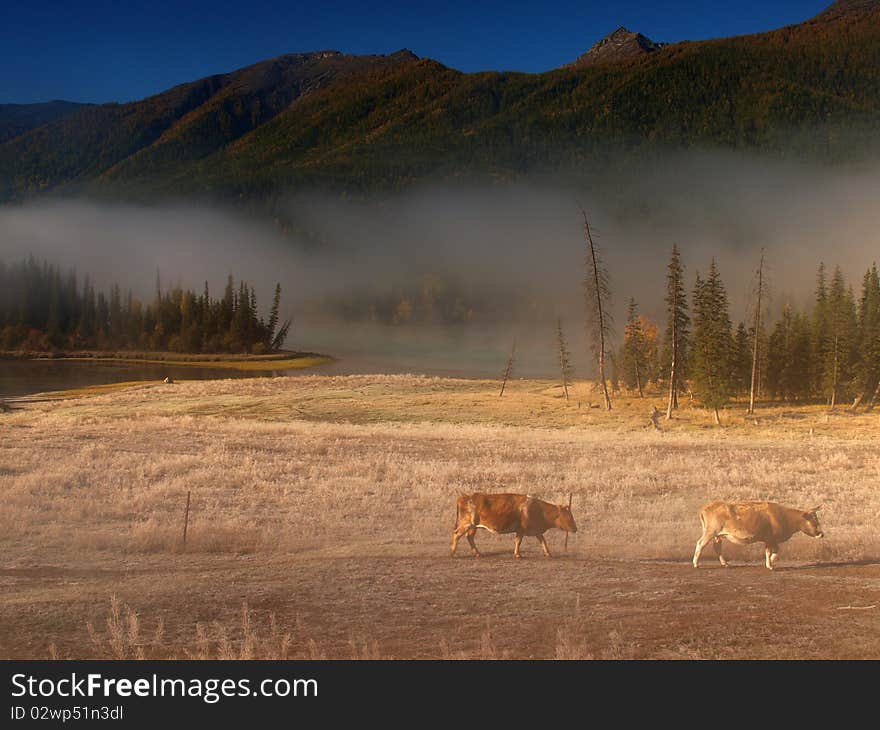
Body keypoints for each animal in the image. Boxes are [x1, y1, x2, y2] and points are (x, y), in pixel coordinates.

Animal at [446, 492, 576, 560]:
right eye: (569, 516)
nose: (575, 528)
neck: (538, 509)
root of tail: (466, 496)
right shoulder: (521, 530)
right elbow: (518, 541)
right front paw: (517, 554)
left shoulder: (536, 530)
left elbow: (543, 541)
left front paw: (548, 553)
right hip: (467, 524)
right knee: (457, 534)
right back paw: (452, 553)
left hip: (474, 527)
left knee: (470, 537)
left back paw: (478, 553)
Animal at [696, 500, 824, 568]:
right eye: (813, 520)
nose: (821, 533)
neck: (785, 516)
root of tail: (706, 507)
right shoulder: (771, 539)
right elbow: (773, 551)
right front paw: (770, 564)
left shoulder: (769, 540)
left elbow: (771, 551)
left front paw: (769, 563)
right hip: (710, 532)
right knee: (700, 544)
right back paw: (696, 563)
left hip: (717, 535)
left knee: (717, 547)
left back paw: (725, 563)